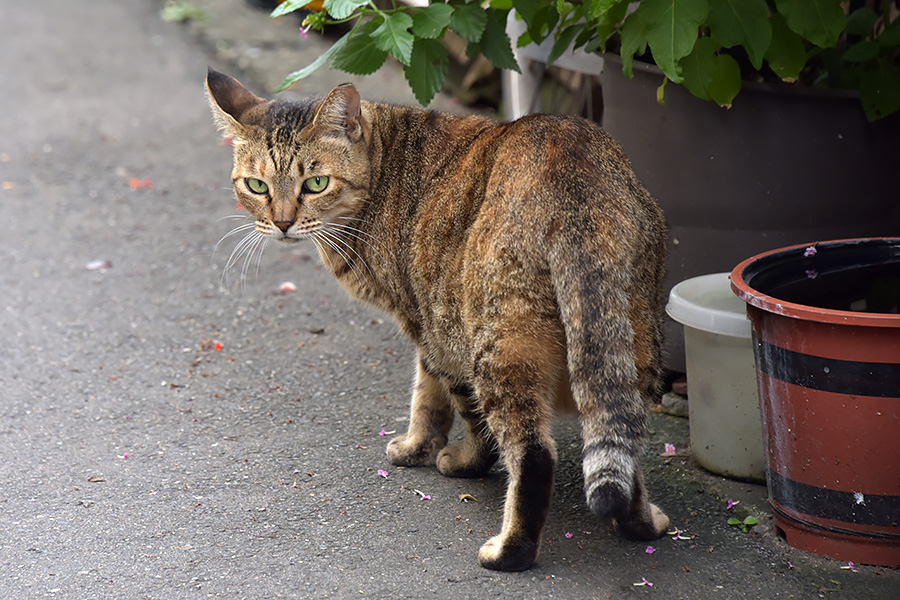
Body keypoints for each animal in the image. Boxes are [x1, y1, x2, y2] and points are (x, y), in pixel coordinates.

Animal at [204, 68, 668, 568]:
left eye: (315, 183)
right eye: (257, 187)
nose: (283, 222)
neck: (383, 166)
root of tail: (574, 173)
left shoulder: (428, 324)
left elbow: (435, 399)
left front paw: (435, 454)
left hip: (497, 345)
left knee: (533, 453)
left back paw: (509, 551)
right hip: (631, 339)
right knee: (624, 437)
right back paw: (642, 524)